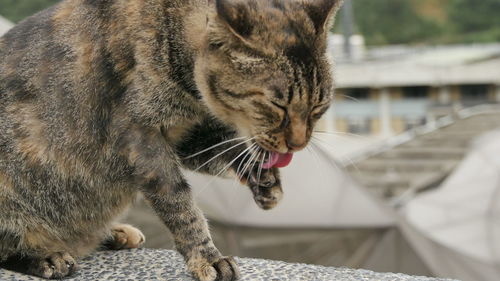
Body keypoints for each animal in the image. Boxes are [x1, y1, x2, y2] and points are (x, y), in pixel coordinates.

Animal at [0, 0, 340, 278]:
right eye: (277, 105)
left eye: (319, 107)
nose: (298, 144)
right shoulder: (142, 139)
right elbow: (180, 205)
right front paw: (206, 257)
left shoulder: (188, 136)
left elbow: (230, 153)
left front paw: (265, 179)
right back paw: (47, 256)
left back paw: (113, 232)